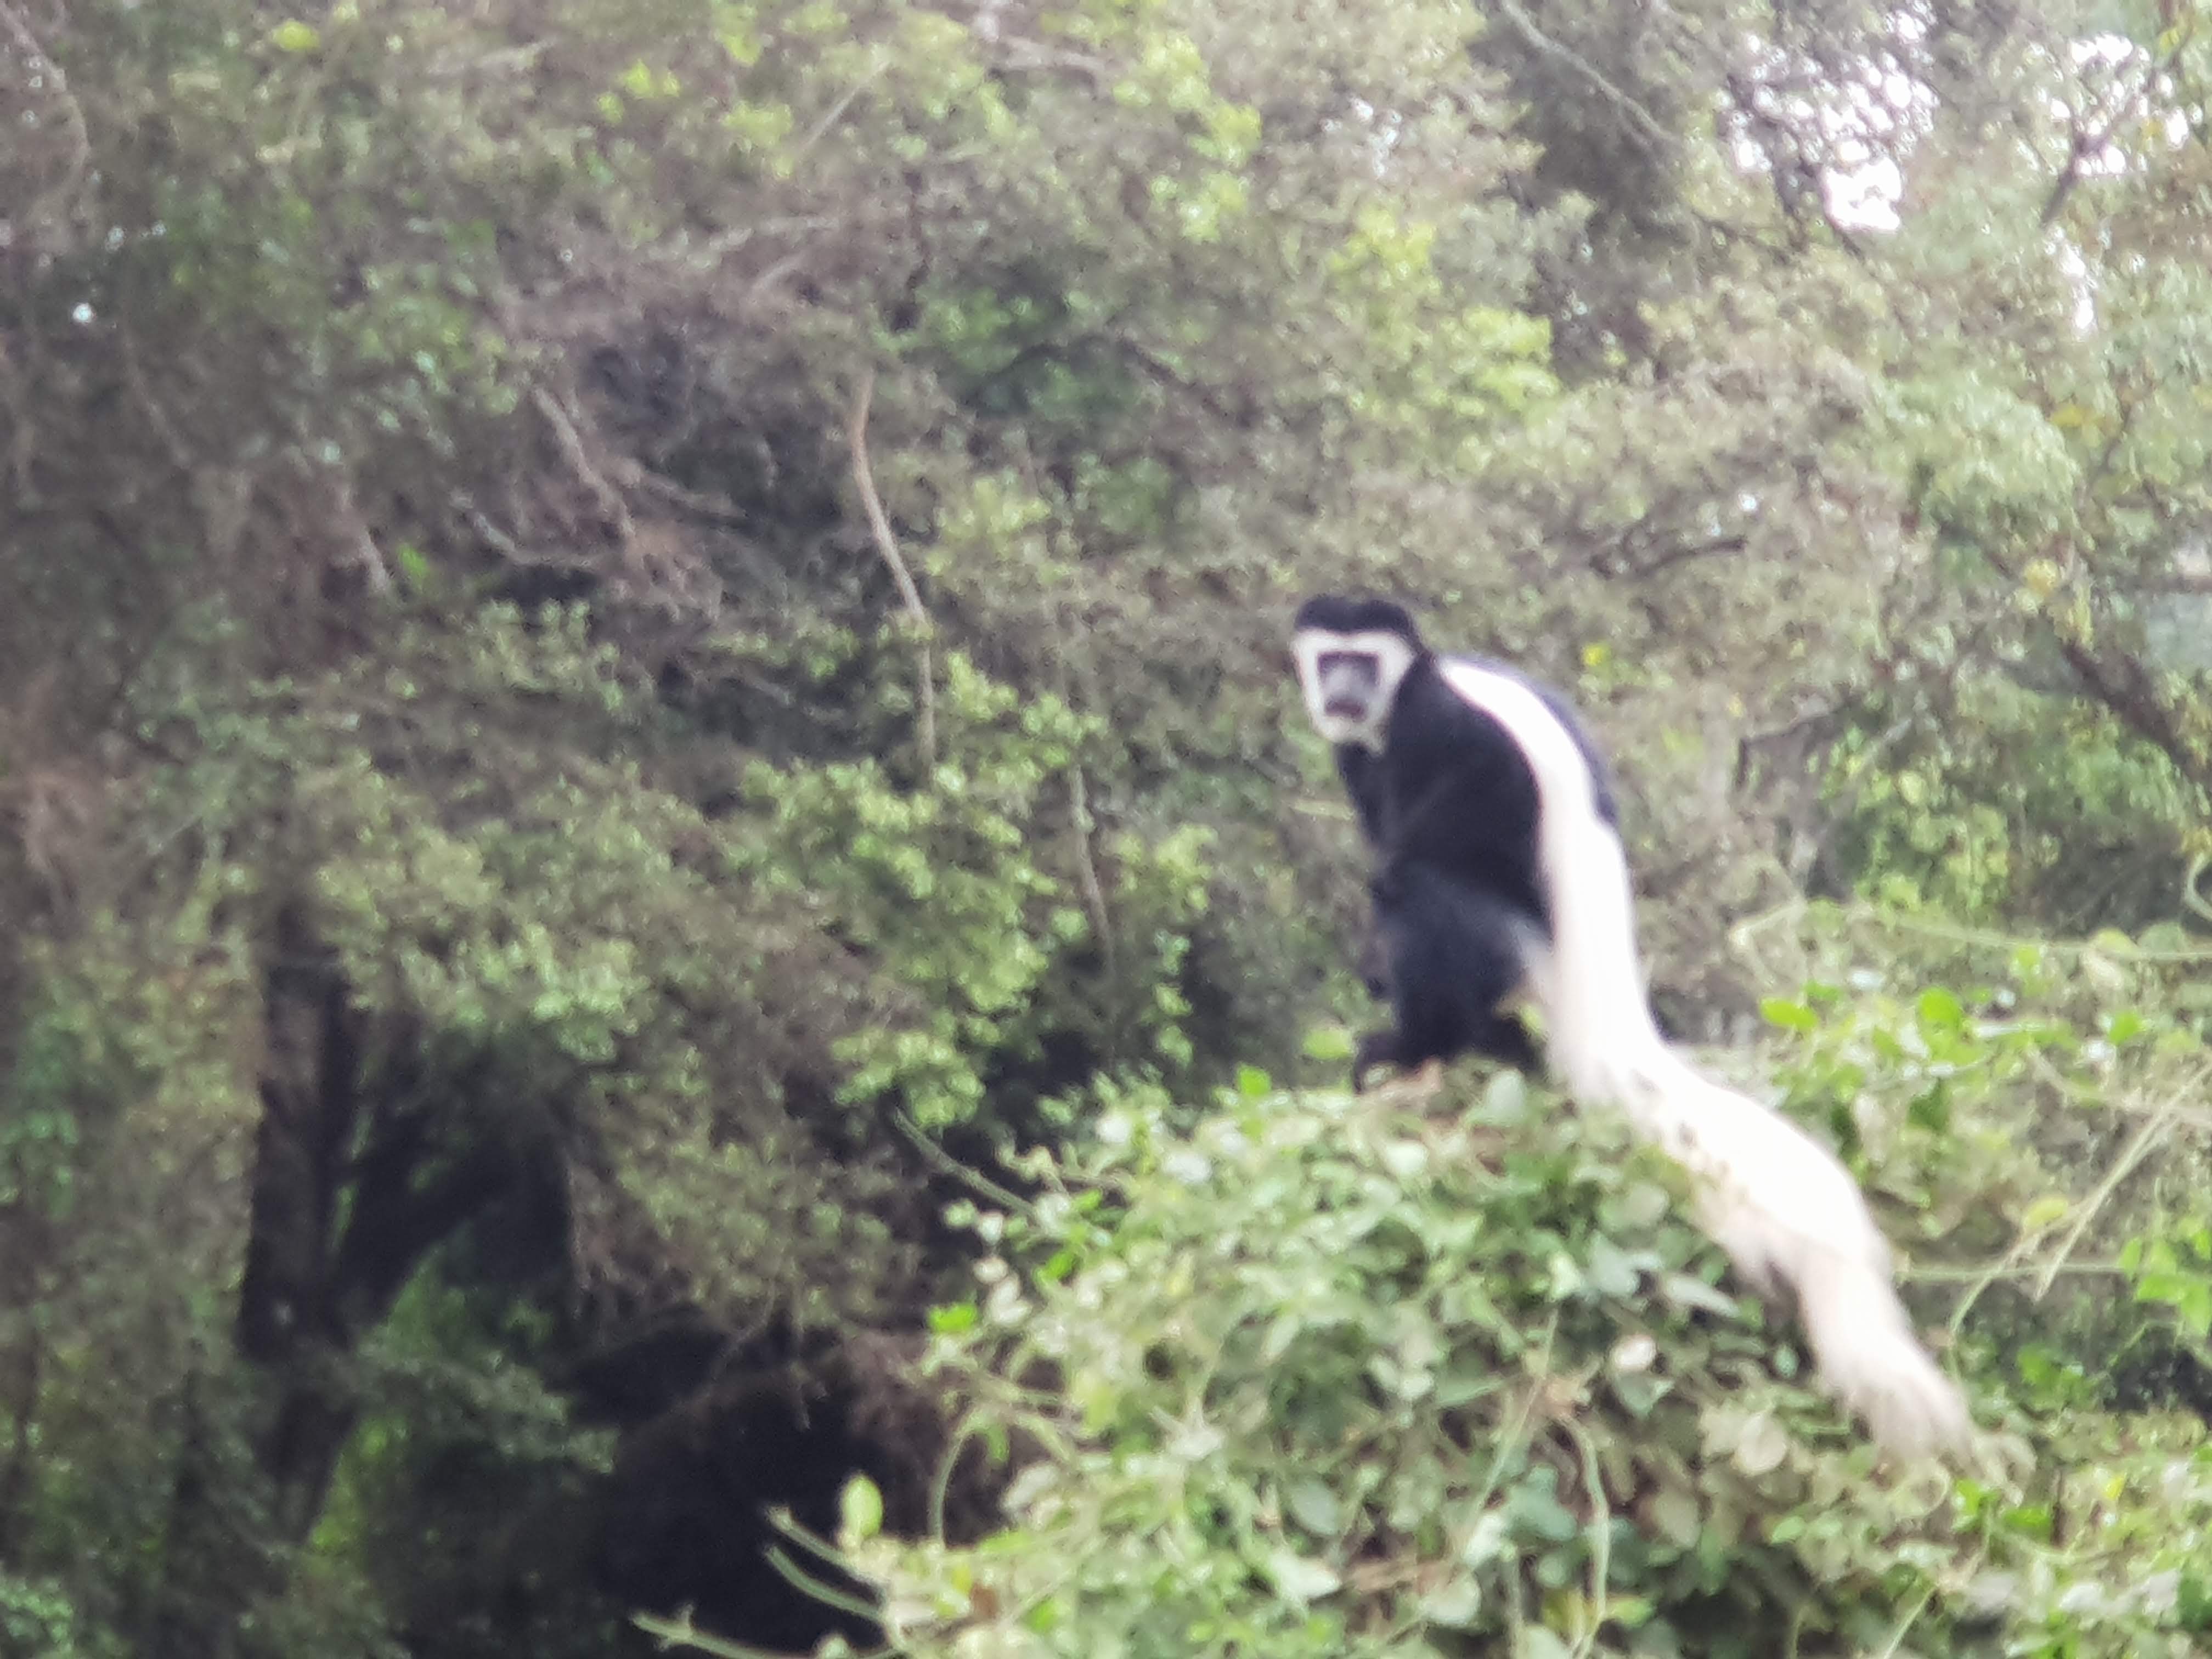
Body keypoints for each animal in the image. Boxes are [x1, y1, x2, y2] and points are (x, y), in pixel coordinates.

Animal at [1291, 594, 1971, 1460]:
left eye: (1362, 661)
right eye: (1330, 659)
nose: (1342, 691)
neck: (1411, 688)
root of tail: (1603, 1024)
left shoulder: (1441, 729)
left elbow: (1435, 837)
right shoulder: (1362, 754)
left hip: (1523, 965)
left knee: (1424, 885)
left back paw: (1413, 1044)